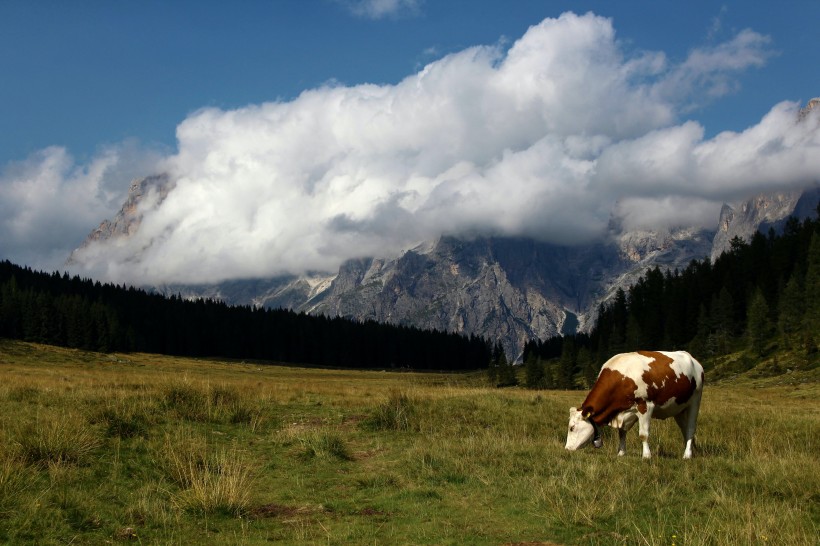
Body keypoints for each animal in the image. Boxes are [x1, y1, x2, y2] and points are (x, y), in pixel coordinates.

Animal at [564, 348, 704, 454]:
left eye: (572, 428)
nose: (567, 449)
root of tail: (693, 360)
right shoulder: (625, 411)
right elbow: (621, 432)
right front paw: (621, 453)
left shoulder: (645, 405)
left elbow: (643, 434)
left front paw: (646, 456)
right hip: (679, 407)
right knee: (684, 428)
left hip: (695, 401)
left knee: (691, 427)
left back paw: (687, 455)